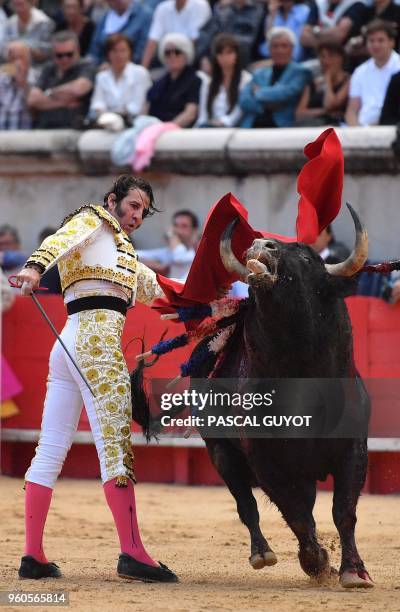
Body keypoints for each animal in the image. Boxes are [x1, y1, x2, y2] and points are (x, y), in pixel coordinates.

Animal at [133, 204, 374, 588]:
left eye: (307, 258)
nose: (262, 244)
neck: (302, 377)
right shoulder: (266, 460)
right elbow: (296, 513)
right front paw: (317, 562)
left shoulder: (353, 449)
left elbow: (344, 510)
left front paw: (352, 571)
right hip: (221, 451)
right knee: (248, 504)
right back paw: (264, 554)